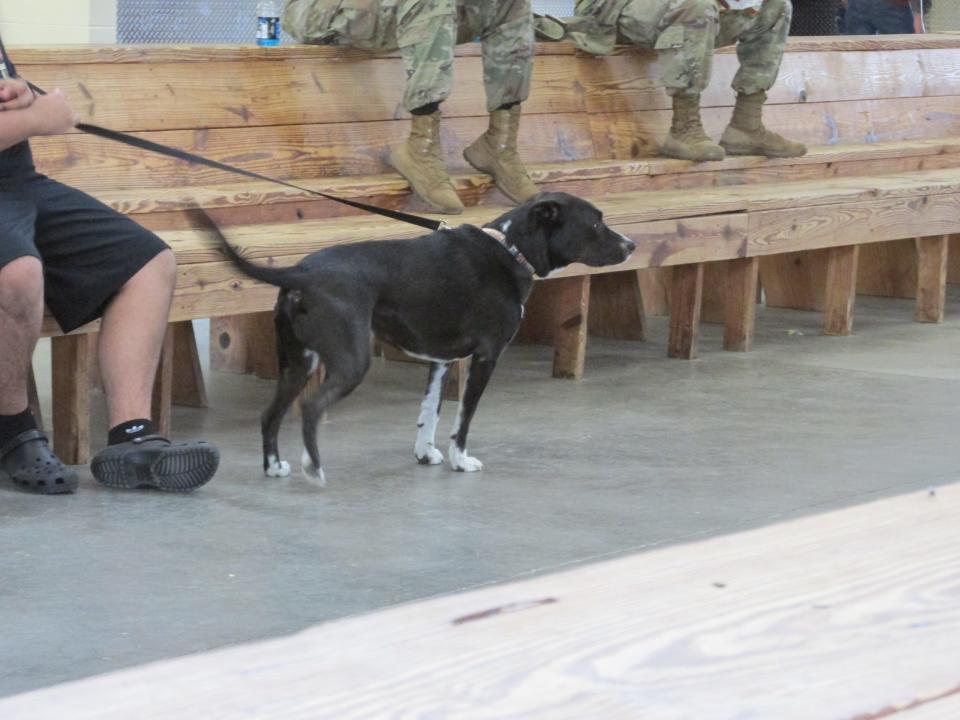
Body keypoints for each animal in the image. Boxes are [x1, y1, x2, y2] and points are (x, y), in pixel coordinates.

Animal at [207, 193, 632, 484]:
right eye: (596, 225)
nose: (632, 245)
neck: (509, 250)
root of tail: (299, 273)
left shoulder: (441, 361)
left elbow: (430, 412)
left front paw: (425, 455)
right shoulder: (486, 357)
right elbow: (463, 418)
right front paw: (460, 460)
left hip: (297, 363)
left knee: (270, 415)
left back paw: (274, 467)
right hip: (349, 363)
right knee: (311, 409)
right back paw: (314, 467)